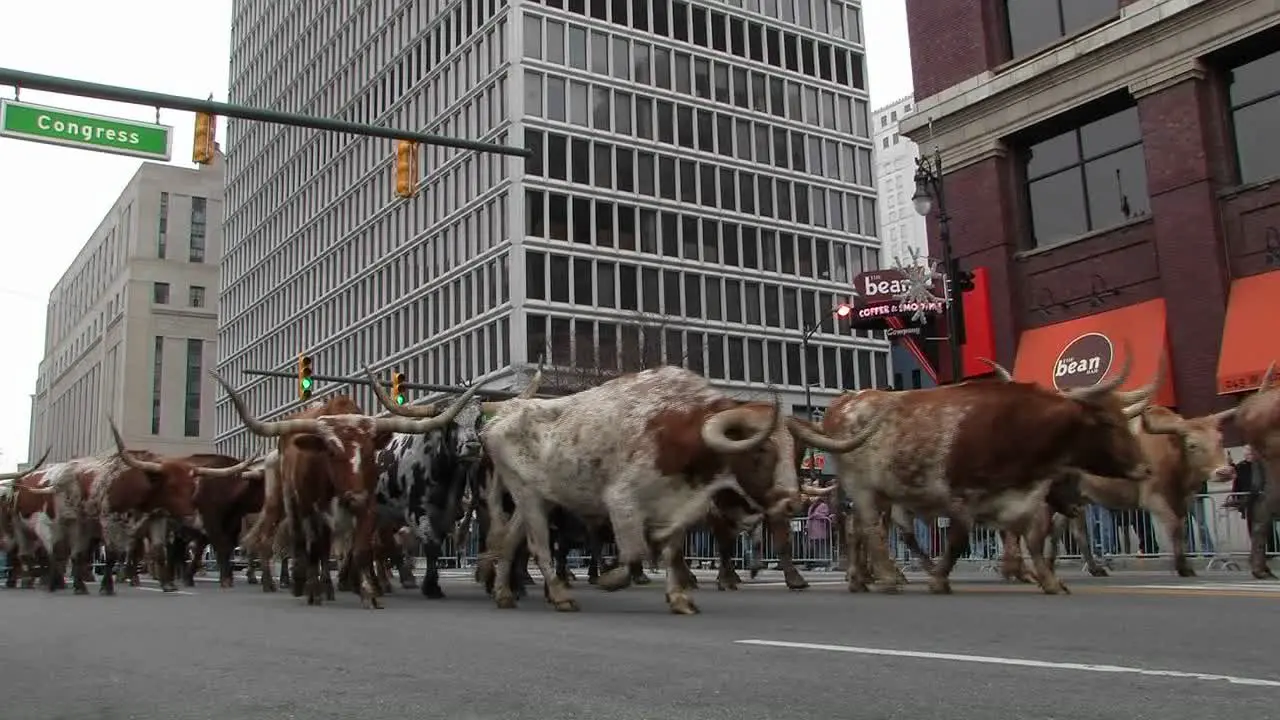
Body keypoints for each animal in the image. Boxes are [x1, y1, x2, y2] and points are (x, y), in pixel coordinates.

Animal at [216, 368, 483, 604]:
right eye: (451, 423)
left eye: (479, 419)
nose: (473, 446)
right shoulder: (417, 511)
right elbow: (428, 546)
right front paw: (429, 586)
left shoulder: (442, 514)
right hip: (282, 505)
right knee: (274, 540)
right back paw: (279, 581)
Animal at [478, 363, 880, 609]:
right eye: (760, 449)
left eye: (797, 451)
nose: (791, 504)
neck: (682, 432)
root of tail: (499, 420)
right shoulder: (622, 502)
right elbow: (635, 551)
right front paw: (613, 579)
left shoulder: (679, 509)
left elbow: (671, 551)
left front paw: (680, 596)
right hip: (528, 496)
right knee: (538, 547)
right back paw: (559, 594)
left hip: (537, 499)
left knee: (509, 541)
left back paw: (503, 591)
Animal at [819, 351, 1162, 594]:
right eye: (1108, 422)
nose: (1145, 467)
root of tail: (843, 405)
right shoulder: (962, 496)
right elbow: (959, 541)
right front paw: (941, 580)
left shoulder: (1023, 496)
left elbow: (1032, 538)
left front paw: (1045, 579)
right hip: (864, 489)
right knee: (870, 529)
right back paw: (888, 577)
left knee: (861, 529)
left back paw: (863, 578)